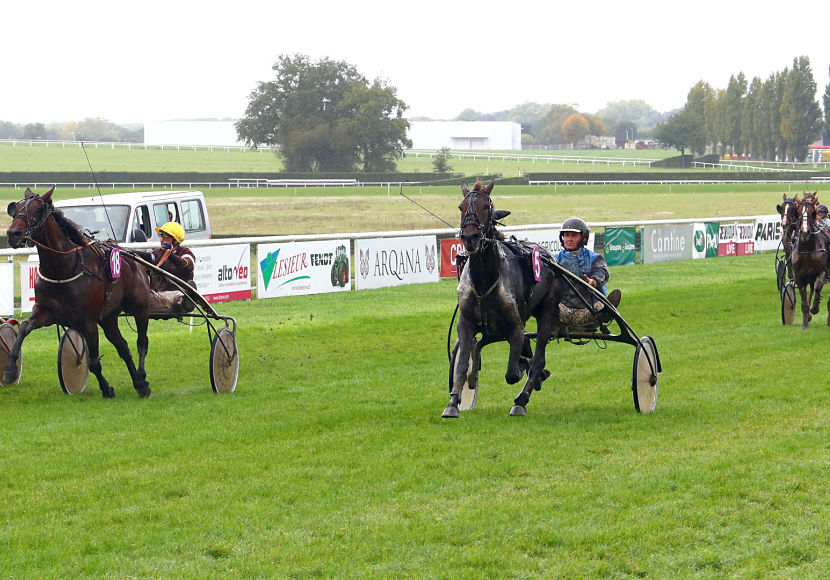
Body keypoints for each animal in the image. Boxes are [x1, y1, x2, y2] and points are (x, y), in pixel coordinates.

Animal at [4, 188, 154, 396]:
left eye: (38, 209)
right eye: (15, 208)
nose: (13, 233)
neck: (62, 269)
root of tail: (132, 258)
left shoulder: (88, 322)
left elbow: (93, 361)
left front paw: (106, 389)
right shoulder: (45, 313)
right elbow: (24, 327)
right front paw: (10, 370)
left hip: (140, 307)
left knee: (142, 342)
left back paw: (143, 380)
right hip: (108, 318)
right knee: (123, 346)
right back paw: (138, 382)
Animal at [446, 180, 568, 416]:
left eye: (486, 206)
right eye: (461, 207)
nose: (470, 237)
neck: (485, 282)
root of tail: (549, 256)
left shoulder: (515, 325)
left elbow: (513, 372)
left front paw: (527, 372)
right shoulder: (466, 322)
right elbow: (463, 364)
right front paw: (454, 401)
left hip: (546, 310)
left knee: (538, 354)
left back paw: (522, 398)